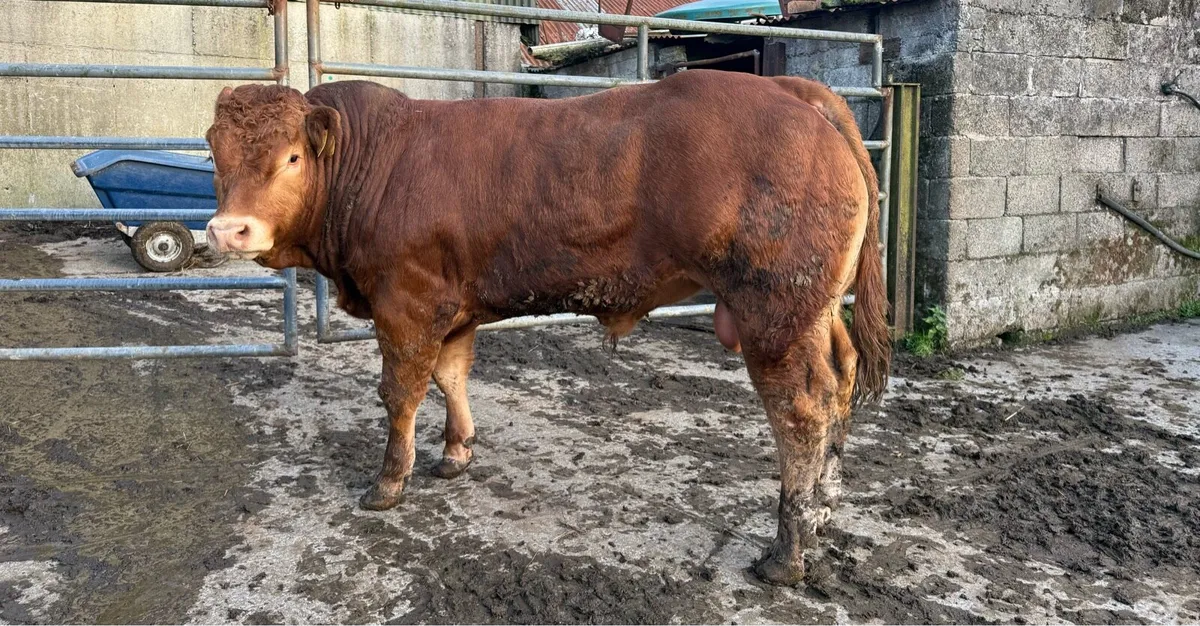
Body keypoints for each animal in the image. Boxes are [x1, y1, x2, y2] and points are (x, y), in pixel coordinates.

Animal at [203, 69, 890, 586]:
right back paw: (822, 511)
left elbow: (401, 393)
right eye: (215, 152)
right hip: (817, 312)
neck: (373, 165)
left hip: (775, 312)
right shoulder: (454, 306)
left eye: (292, 157)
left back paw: (787, 550)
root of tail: (791, 90)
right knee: (841, 381)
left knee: (802, 411)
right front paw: (456, 452)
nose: (228, 230)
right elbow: (452, 376)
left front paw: (389, 481)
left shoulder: (407, 302)